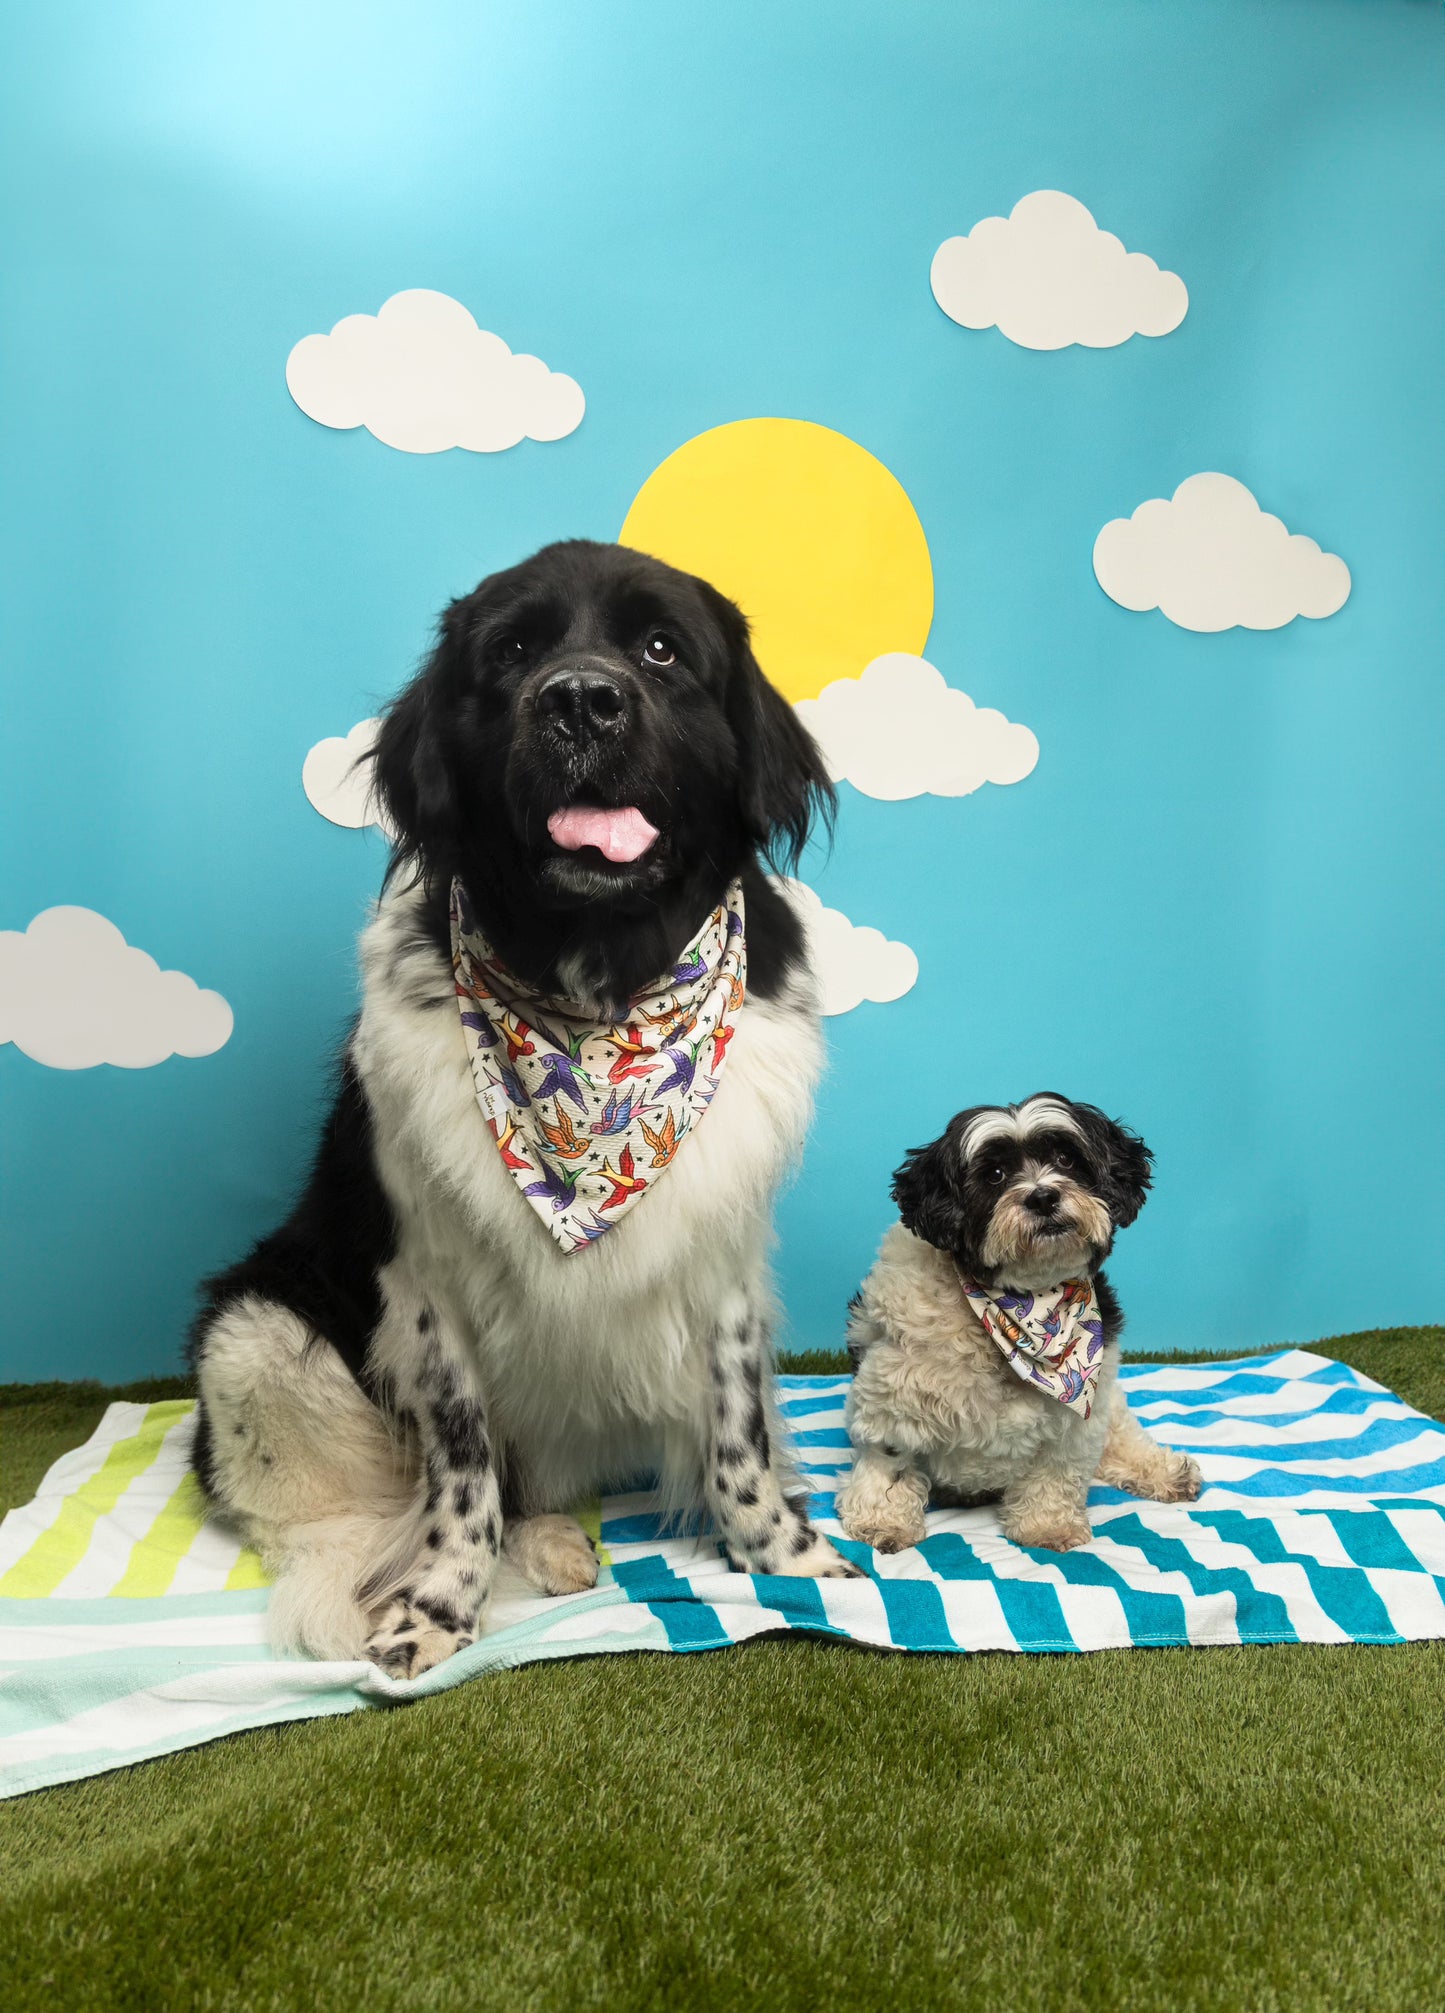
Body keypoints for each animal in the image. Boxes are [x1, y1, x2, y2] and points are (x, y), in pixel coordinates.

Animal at [191, 539, 861, 1682]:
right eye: (508, 653)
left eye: (659, 649)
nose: (581, 700)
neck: (596, 997)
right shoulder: (425, 1287)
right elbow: (460, 1470)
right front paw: (435, 1608)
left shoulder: (723, 1260)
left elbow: (737, 1427)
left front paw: (781, 1550)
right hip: (256, 1334)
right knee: (353, 1518)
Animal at [837, 1103, 1199, 1554]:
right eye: (994, 1175)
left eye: (1066, 1159)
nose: (1043, 1196)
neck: (1024, 1307)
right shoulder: (892, 1397)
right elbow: (890, 1463)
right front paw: (883, 1519)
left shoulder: (1076, 1418)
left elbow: (1055, 1473)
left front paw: (1047, 1525)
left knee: (1120, 1434)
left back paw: (1165, 1471)